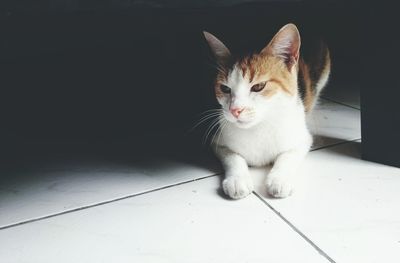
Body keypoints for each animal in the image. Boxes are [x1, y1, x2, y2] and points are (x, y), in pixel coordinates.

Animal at [205, 23, 330, 200]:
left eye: (258, 86)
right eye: (225, 88)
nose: (235, 110)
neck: (259, 127)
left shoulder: (302, 139)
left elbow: (288, 156)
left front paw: (279, 179)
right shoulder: (218, 142)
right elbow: (232, 157)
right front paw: (237, 180)